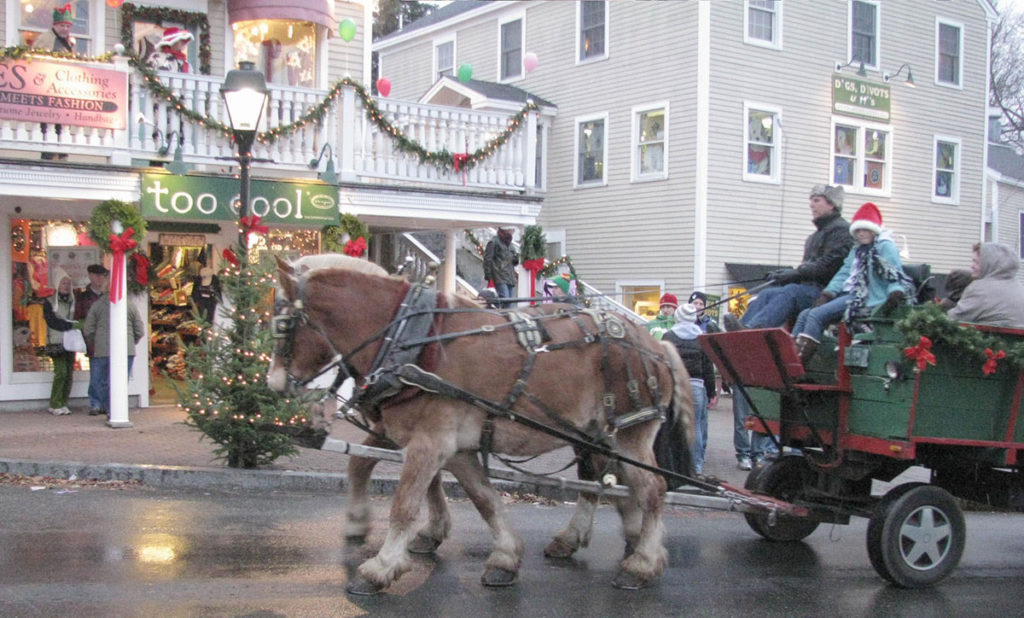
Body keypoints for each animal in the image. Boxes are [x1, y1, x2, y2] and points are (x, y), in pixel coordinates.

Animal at [266, 254, 696, 593]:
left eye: (283, 326)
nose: (274, 384)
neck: (409, 340)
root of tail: (655, 343)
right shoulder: (452, 447)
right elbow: (482, 498)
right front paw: (504, 557)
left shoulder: (430, 442)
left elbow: (404, 503)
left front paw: (380, 567)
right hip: (596, 433)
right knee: (606, 482)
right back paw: (601, 539)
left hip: (630, 431)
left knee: (651, 489)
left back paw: (642, 563)